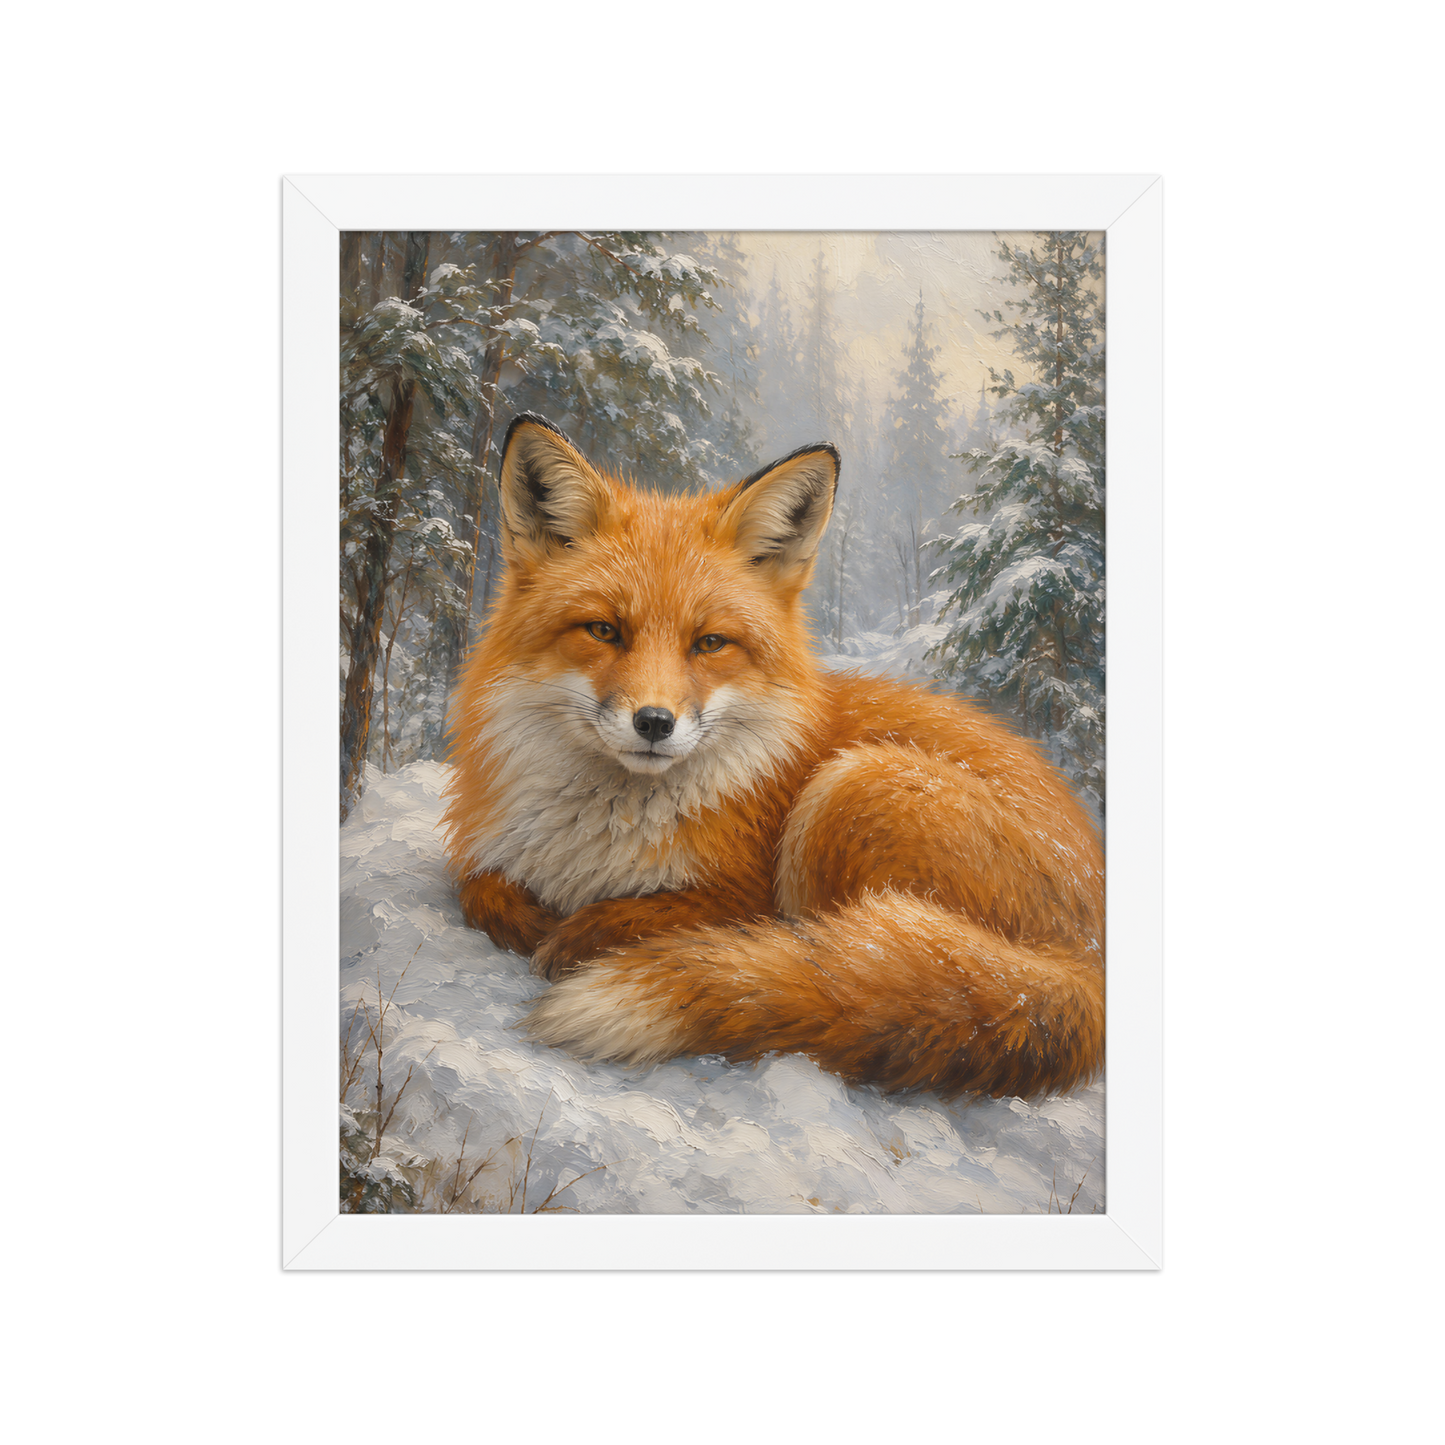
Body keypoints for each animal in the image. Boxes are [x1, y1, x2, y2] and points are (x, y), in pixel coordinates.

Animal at [440, 413, 1104, 1102]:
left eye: (709, 643)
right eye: (604, 631)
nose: (654, 723)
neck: (597, 838)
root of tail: (1089, 959)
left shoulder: (741, 893)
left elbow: (657, 915)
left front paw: (580, 935)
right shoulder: (490, 853)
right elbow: (478, 888)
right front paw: (529, 919)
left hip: (852, 787)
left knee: (839, 963)